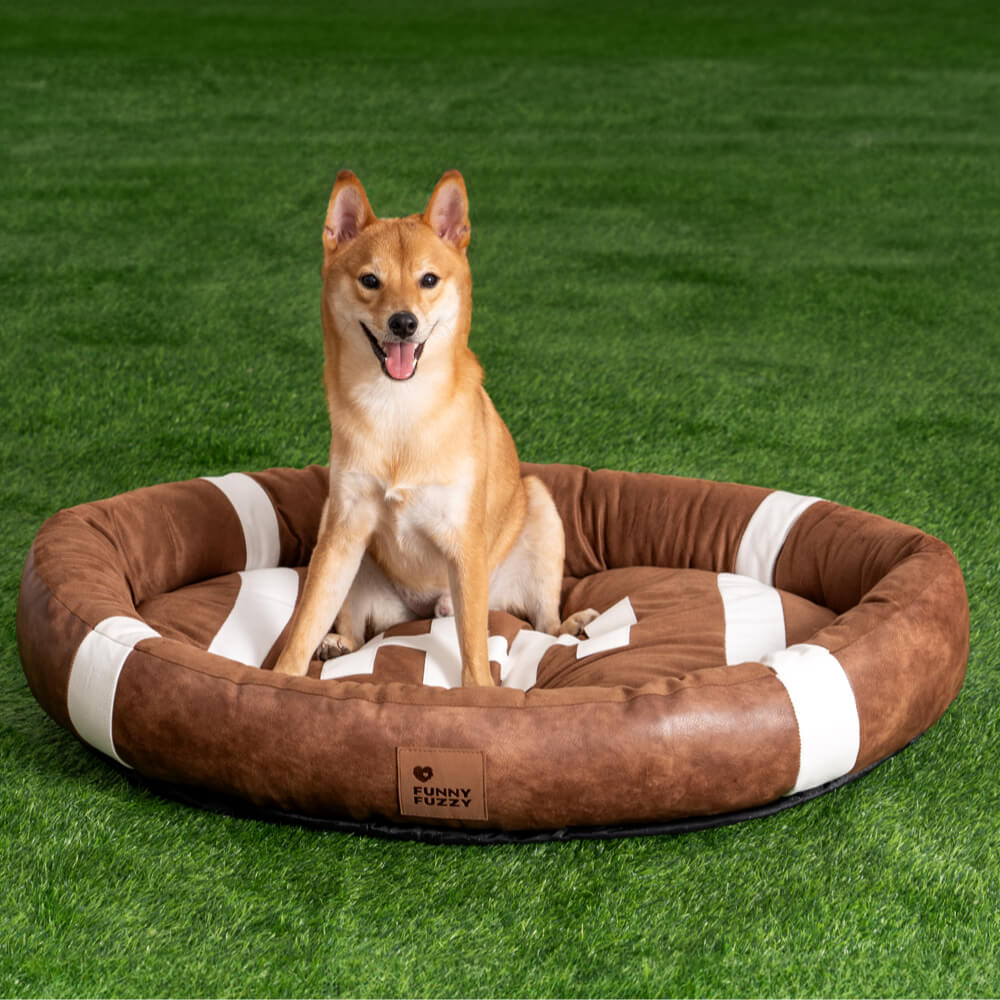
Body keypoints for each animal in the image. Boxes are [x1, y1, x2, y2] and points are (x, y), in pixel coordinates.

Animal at [272, 172, 592, 688]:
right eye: (370, 280)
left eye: (428, 280)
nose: (403, 322)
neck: (400, 408)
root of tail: (426, 608)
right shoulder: (342, 532)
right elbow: (305, 621)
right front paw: (282, 678)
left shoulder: (464, 542)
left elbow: (475, 645)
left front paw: (480, 691)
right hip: (340, 540)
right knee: (354, 627)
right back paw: (339, 642)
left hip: (541, 509)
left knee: (543, 622)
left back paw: (571, 626)